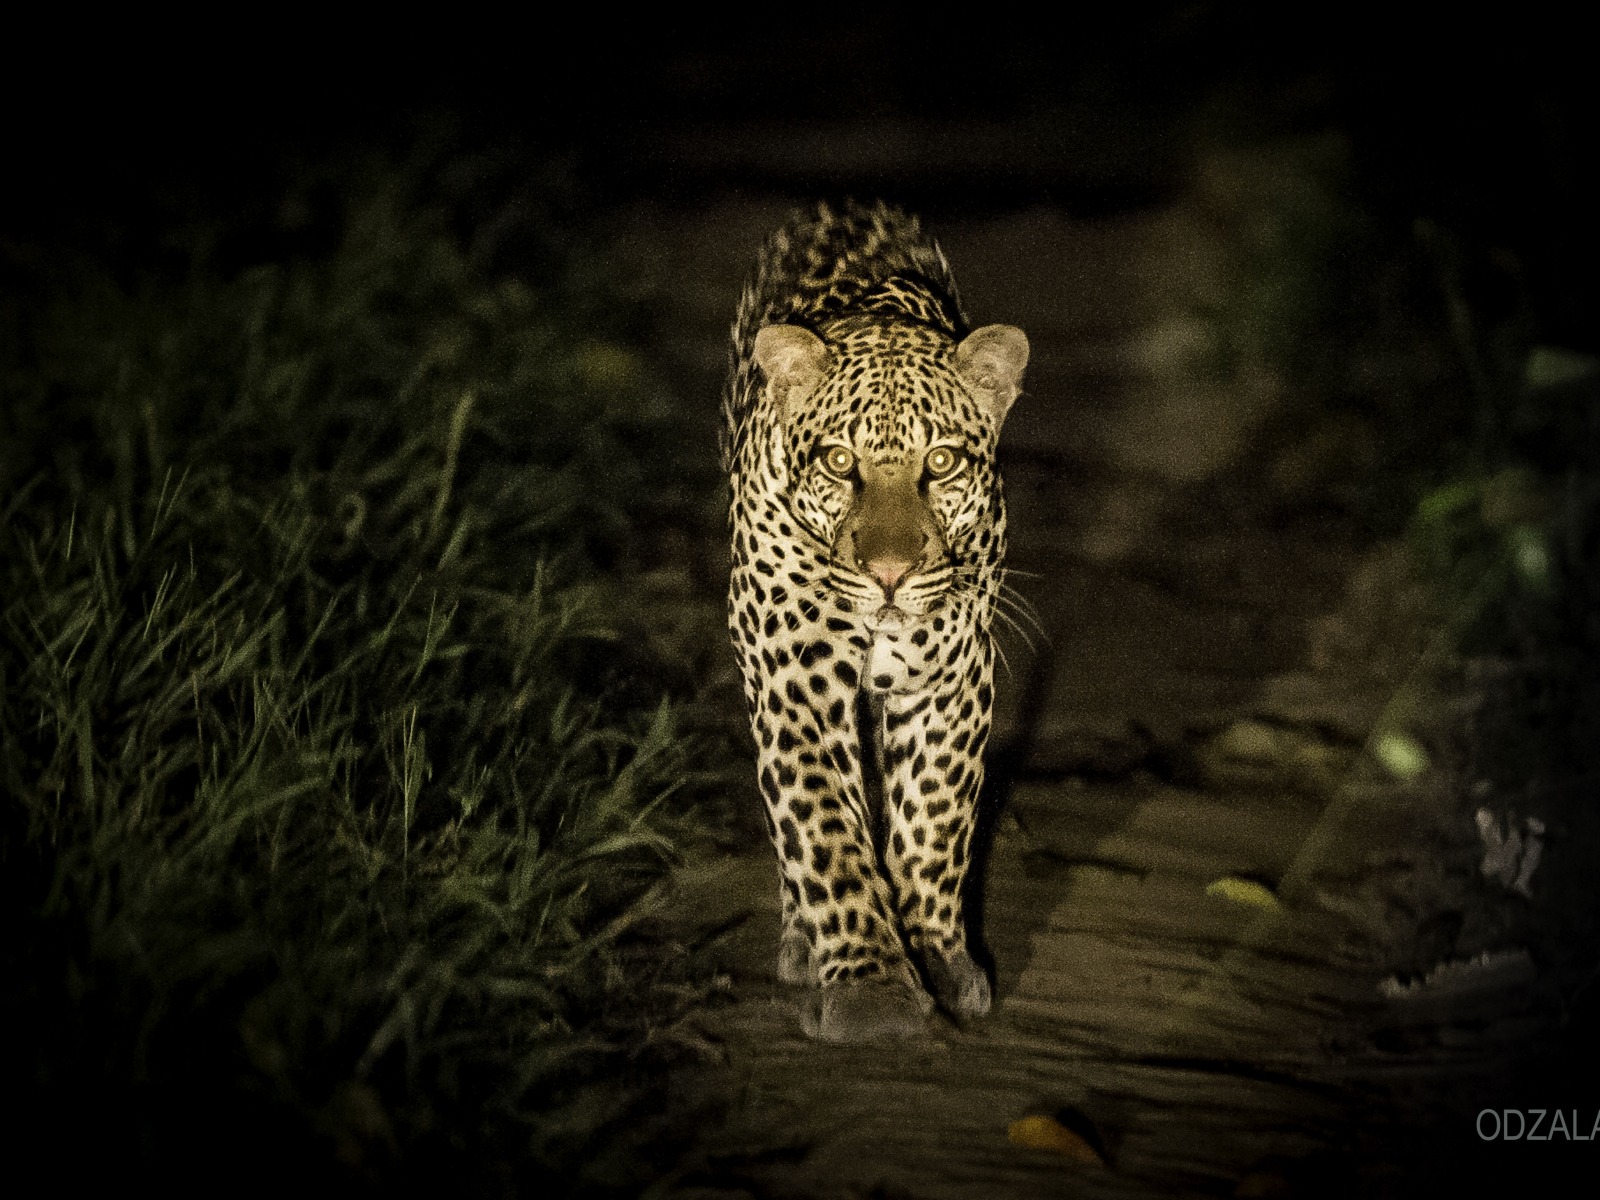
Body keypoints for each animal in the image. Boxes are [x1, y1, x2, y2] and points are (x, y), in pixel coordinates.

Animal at [721, 200, 1030, 1043]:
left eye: (942, 464)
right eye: (837, 463)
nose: (889, 575)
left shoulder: (950, 671)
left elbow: (934, 818)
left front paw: (941, 961)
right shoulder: (792, 670)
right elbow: (822, 823)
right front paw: (872, 989)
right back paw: (803, 943)